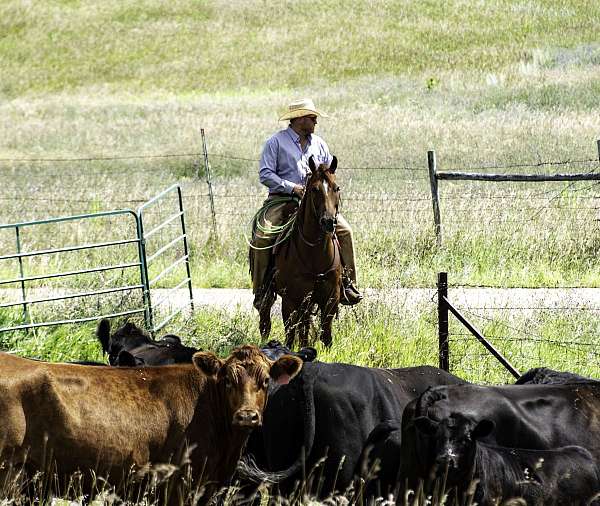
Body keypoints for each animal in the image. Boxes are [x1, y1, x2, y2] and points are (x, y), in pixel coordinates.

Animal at [258, 156, 340, 350]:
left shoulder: (331, 297)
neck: (315, 255)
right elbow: (292, 332)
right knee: (267, 320)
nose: (328, 221)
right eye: (314, 189)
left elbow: (326, 333)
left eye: (336, 188)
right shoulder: (292, 298)